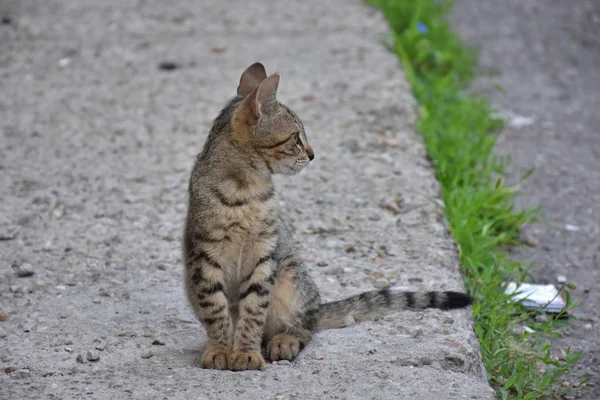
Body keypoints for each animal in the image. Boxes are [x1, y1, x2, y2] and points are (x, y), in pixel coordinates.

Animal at [183, 62, 474, 372]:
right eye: (296, 137)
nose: (312, 154)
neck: (245, 190)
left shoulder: (265, 254)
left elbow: (253, 311)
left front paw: (246, 352)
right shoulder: (204, 256)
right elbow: (216, 310)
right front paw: (219, 349)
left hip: (290, 282)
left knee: (303, 327)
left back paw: (283, 341)